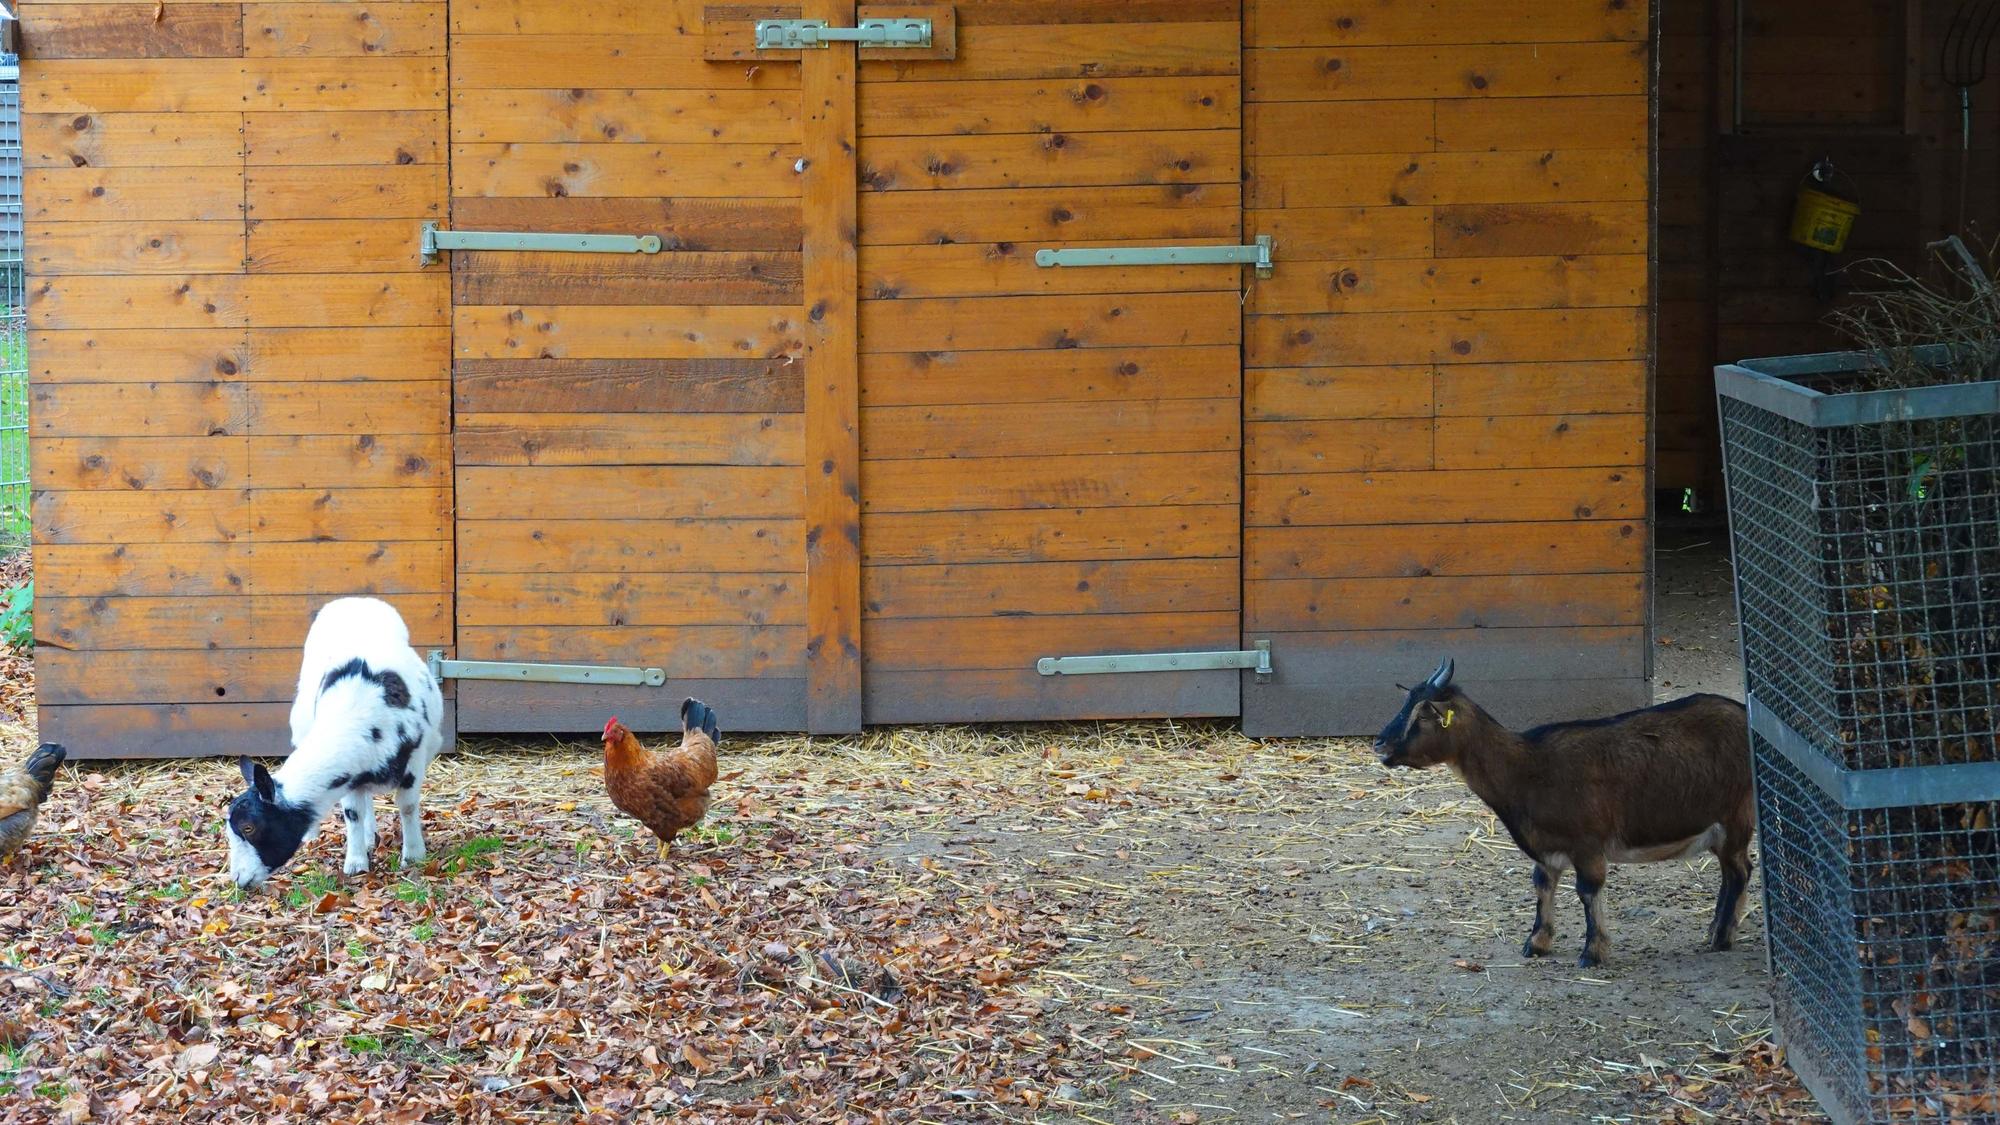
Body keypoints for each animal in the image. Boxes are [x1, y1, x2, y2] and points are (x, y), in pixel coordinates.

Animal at [226, 597, 446, 890]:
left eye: (249, 827)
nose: (239, 880)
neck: (358, 713)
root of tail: (355, 600)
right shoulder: (350, 773)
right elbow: (353, 813)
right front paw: (356, 862)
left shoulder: (412, 763)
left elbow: (407, 807)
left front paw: (413, 856)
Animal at [1374, 658, 1753, 967]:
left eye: (1423, 715)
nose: (1380, 744)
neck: (1527, 767)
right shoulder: (1545, 849)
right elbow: (1542, 886)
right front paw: (1536, 944)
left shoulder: (1587, 843)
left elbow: (1588, 889)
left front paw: (1593, 953)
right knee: (1730, 872)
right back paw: (1714, 931)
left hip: (1737, 818)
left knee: (1740, 871)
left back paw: (1722, 938)